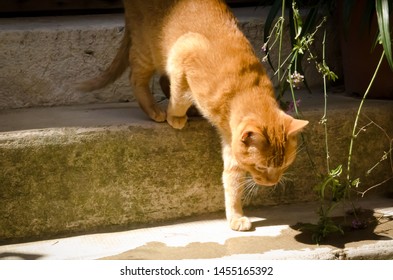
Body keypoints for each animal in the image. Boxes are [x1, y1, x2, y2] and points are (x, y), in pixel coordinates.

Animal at [78, 0, 308, 232]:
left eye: (284, 165)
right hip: (148, 49)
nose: (272, 182)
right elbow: (179, 97)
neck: (243, 88)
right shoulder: (184, 53)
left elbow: (232, 182)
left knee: (160, 79)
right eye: (260, 167)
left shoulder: (231, 142)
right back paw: (156, 110)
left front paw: (235, 216)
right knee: (137, 77)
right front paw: (175, 116)